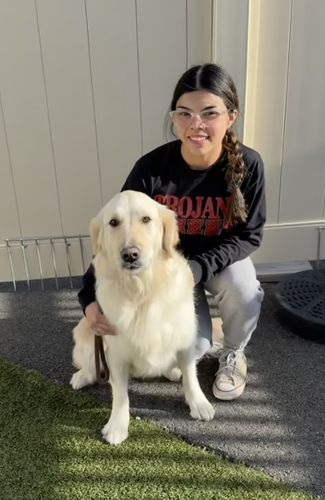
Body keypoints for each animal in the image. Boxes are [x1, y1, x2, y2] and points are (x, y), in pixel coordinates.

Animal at [69, 189, 214, 444]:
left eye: (146, 219)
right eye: (113, 222)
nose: (130, 255)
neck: (142, 289)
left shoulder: (185, 337)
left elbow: (191, 374)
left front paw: (199, 403)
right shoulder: (115, 351)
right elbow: (120, 394)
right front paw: (117, 426)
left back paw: (172, 371)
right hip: (85, 332)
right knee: (90, 364)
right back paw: (82, 376)